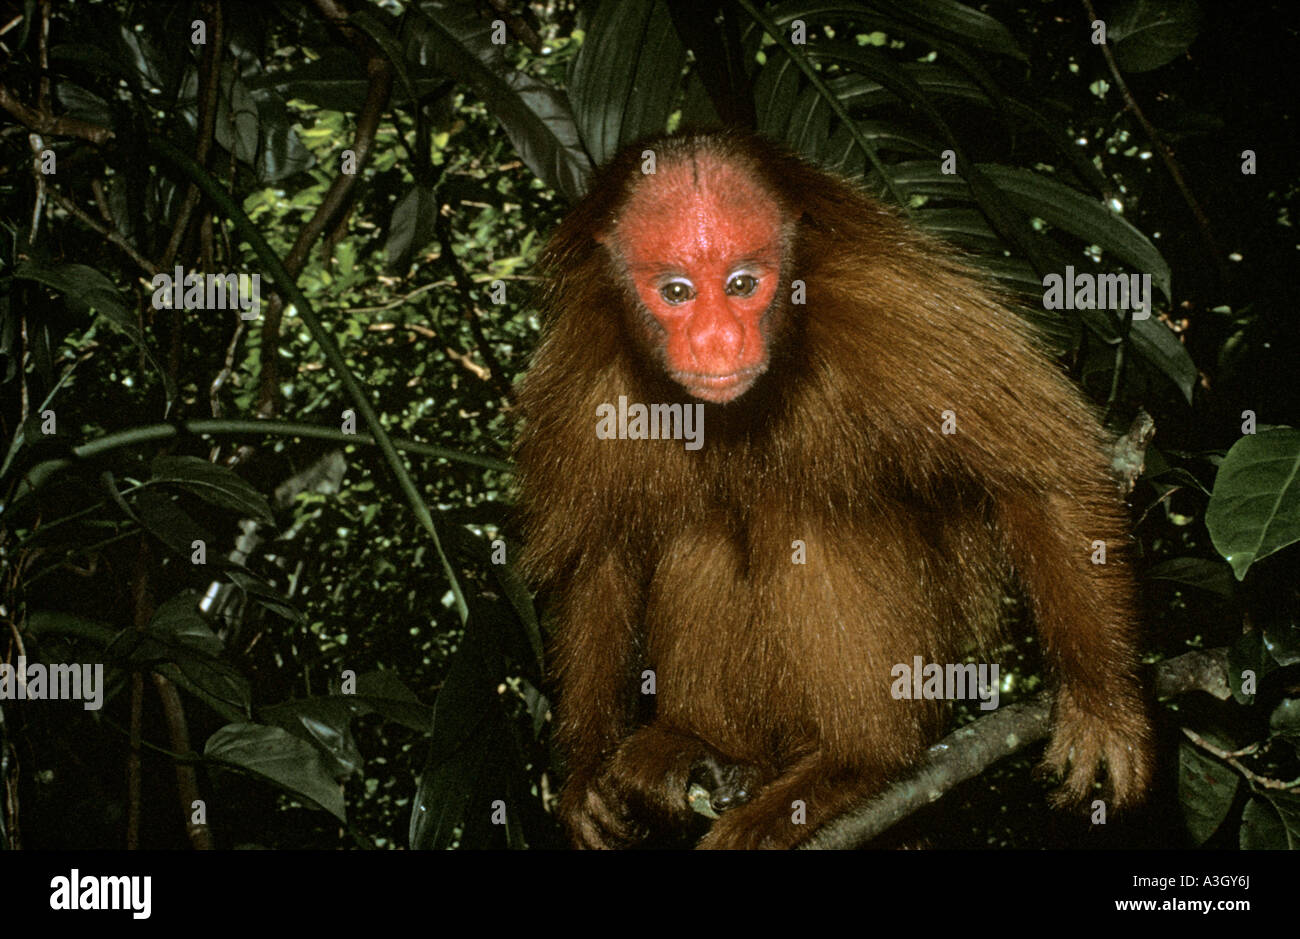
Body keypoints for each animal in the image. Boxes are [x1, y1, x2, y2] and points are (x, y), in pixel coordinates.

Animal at [514, 129, 1153, 849]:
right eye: (676, 292)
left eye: (742, 284)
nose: (718, 339)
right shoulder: (588, 374)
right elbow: (599, 558)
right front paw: (586, 774)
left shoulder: (895, 310)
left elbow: (1041, 476)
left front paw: (1102, 703)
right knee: (706, 535)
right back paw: (713, 754)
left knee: (808, 516)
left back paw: (850, 766)